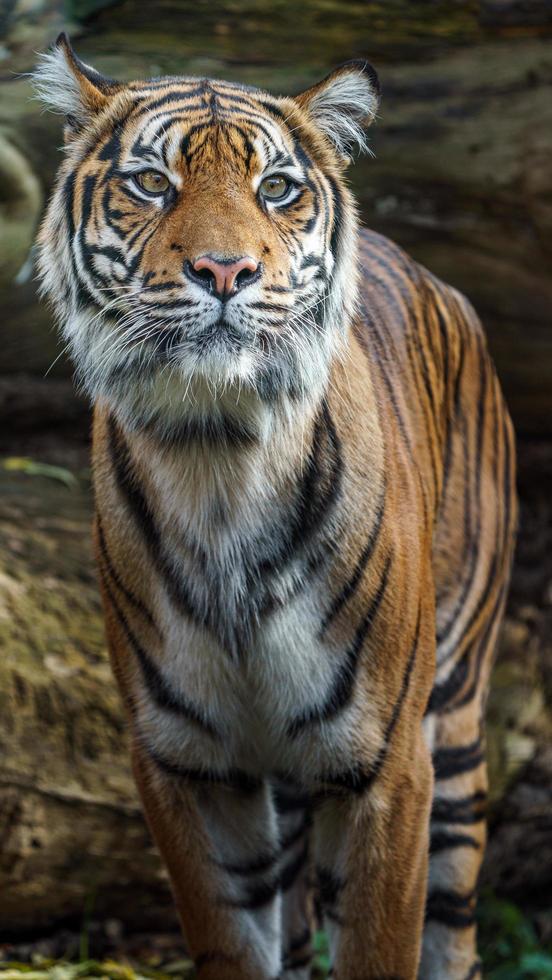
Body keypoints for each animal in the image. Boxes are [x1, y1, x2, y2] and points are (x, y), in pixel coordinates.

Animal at [33, 34, 516, 980]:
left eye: (278, 188)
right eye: (153, 182)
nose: (226, 271)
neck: (218, 459)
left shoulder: (388, 769)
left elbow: (381, 946)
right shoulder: (186, 768)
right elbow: (231, 940)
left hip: (457, 717)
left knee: (454, 925)